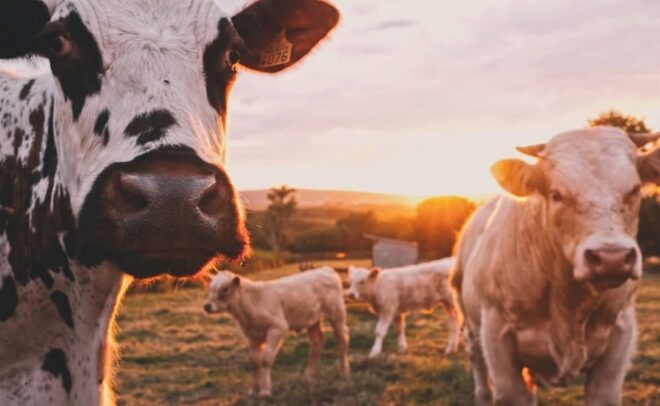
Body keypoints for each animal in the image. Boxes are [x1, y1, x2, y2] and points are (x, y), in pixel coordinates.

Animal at [204, 268, 350, 398]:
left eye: (225, 289)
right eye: (209, 288)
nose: (207, 306)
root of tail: (326, 269)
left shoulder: (277, 328)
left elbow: (265, 359)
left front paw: (265, 391)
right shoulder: (252, 336)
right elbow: (254, 361)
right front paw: (253, 390)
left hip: (337, 313)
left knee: (342, 339)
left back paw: (344, 372)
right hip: (312, 320)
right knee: (316, 343)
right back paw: (309, 377)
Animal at [452, 127, 660, 406]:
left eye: (634, 189)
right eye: (556, 194)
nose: (611, 258)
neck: (570, 304)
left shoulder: (620, 335)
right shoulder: (497, 338)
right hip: (471, 328)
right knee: (480, 372)